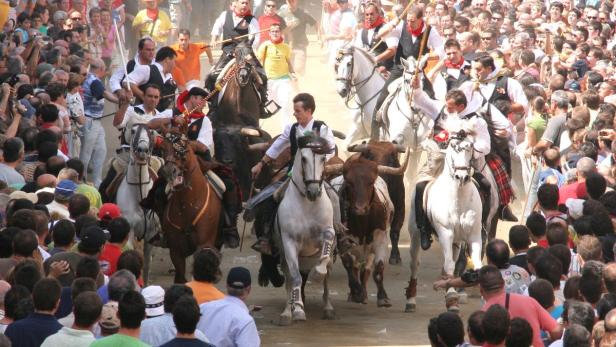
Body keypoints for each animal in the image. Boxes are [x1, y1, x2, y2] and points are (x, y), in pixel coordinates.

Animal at [115, 124, 160, 286]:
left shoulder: (151, 235)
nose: (143, 149)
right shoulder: (130, 230)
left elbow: (146, 264)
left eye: (151, 132)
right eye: (133, 130)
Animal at [158, 129, 223, 284]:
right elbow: (181, 278)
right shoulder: (176, 251)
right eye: (162, 148)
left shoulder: (204, 245)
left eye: (183, 147)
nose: (168, 171)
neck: (187, 206)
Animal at [276, 134, 336, 326]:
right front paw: (298, 310)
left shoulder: (326, 232)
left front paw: (317, 273)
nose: (313, 191)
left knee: (327, 277)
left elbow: (326, 248)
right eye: (303, 159)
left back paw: (328, 308)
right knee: (289, 279)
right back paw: (287, 312)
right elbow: (295, 277)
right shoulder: (289, 242)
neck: (307, 205)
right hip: (284, 257)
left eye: (323, 158)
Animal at [406, 124, 488, 312]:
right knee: (415, 263)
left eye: (470, 147)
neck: (458, 198)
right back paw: (411, 300)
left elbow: (476, 265)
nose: (462, 177)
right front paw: (451, 298)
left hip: (457, 241)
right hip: (415, 235)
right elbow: (449, 264)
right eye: (453, 147)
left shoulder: (474, 236)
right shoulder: (445, 233)